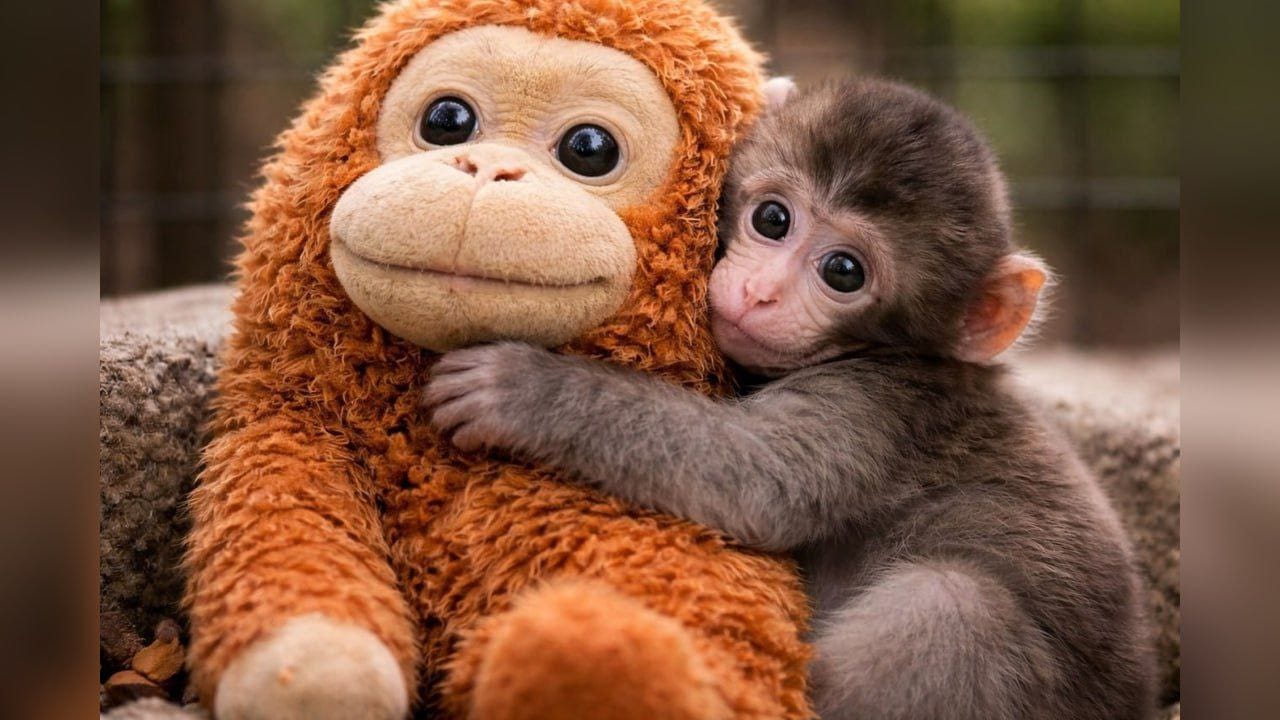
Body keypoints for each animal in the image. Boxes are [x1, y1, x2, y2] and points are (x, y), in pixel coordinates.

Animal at [421, 78, 1155, 720]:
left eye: (844, 272)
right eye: (773, 219)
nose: (760, 293)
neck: (883, 355)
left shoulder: (876, 409)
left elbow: (757, 480)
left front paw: (521, 385)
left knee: (955, 607)